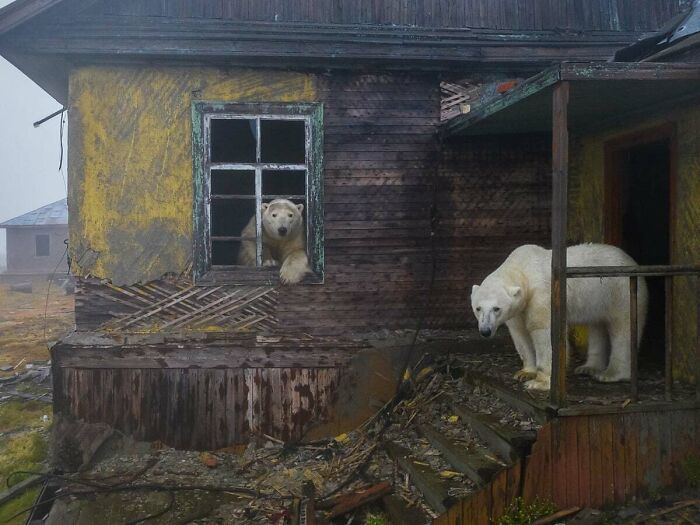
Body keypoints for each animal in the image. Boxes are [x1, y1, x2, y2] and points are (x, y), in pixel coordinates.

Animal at [470, 243, 648, 391]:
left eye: (496, 308)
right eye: (478, 308)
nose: (485, 331)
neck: (523, 269)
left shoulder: (542, 296)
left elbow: (544, 332)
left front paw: (539, 382)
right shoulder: (519, 309)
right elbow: (520, 334)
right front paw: (525, 372)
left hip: (620, 291)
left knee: (623, 329)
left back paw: (610, 374)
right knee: (597, 326)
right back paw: (588, 367)